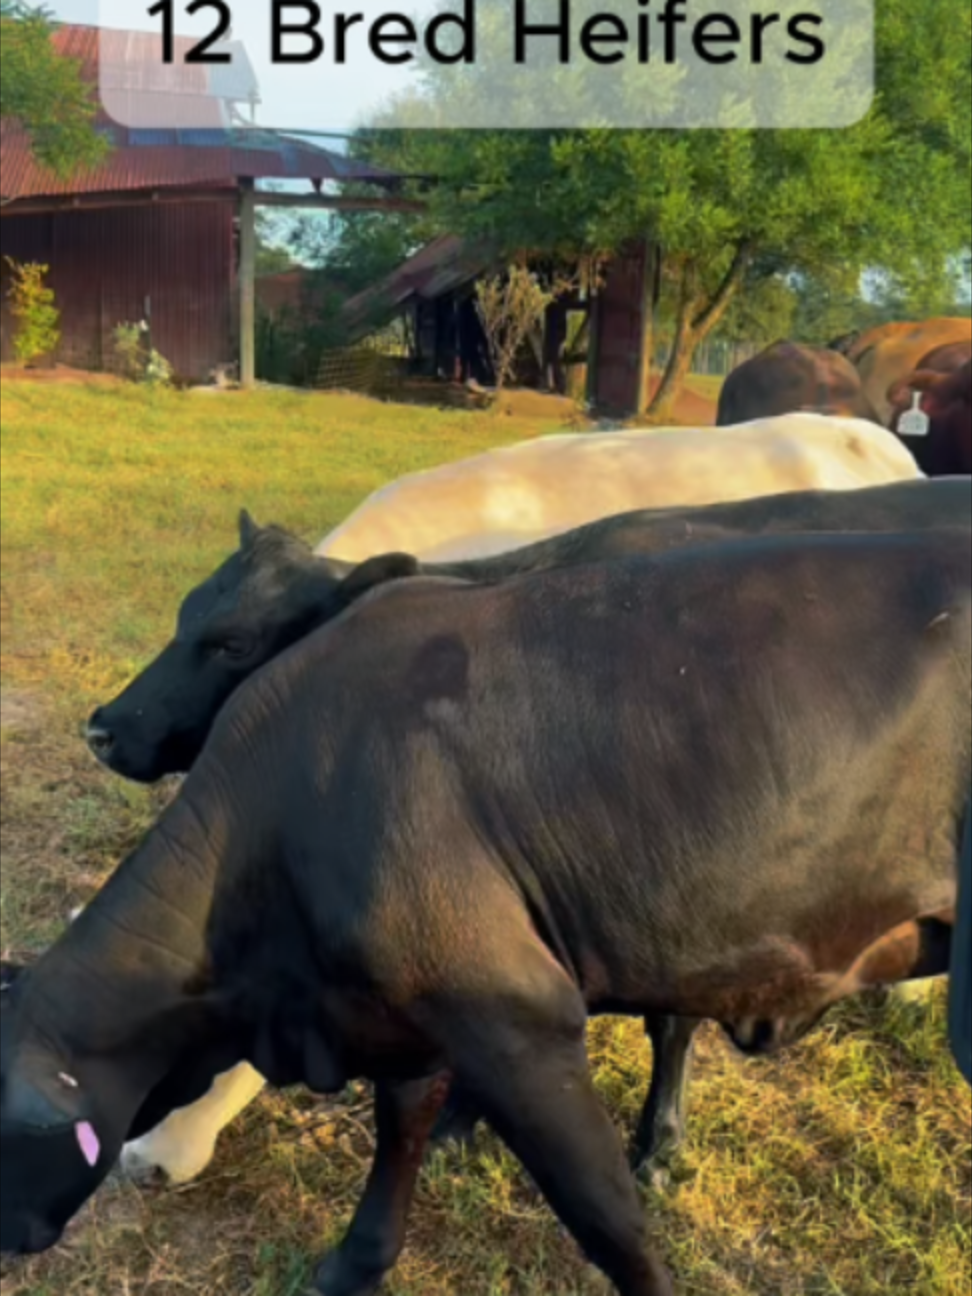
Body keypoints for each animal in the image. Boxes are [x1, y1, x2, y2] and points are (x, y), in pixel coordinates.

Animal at [3, 530, 970, 1296]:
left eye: (232, 641)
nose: (101, 727)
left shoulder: (520, 1023)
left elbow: (609, 1222)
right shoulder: (409, 1014)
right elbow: (399, 1134)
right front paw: (357, 1264)